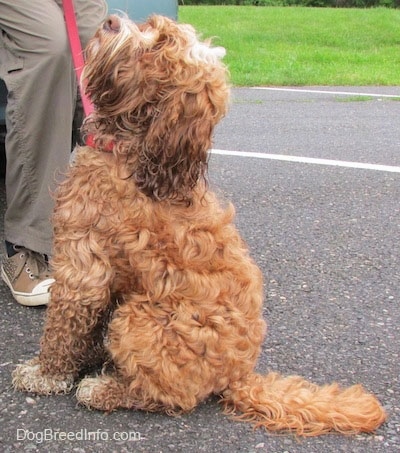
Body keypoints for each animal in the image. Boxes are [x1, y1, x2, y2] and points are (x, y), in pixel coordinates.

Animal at [12, 15, 386, 436]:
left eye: (158, 47)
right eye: (151, 25)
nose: (111, 21)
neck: (132, 152)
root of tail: (239, 376)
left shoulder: (82, 267)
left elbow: (61, 327)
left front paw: (45, 374)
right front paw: (81, 356)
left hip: (140, 318)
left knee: (172, 398)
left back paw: (106, 389)